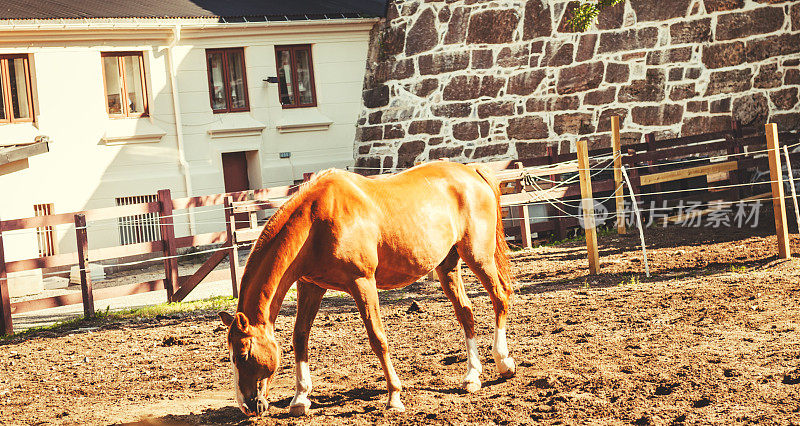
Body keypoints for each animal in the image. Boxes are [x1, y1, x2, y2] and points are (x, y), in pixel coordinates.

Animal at [219, 161, 516, 416]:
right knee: (466, 313)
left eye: (243, 353)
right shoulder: (310, 287)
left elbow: (377, 338)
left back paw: (504, 363)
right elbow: (300, 337)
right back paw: (472, 377)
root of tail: (471, 171)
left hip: (478, 256)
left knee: (500, 298)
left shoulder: (362, 283)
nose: (246, 405)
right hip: (447, 265)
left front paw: (394, 396)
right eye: (230, 354)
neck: (316, 221)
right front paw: (300, 398)